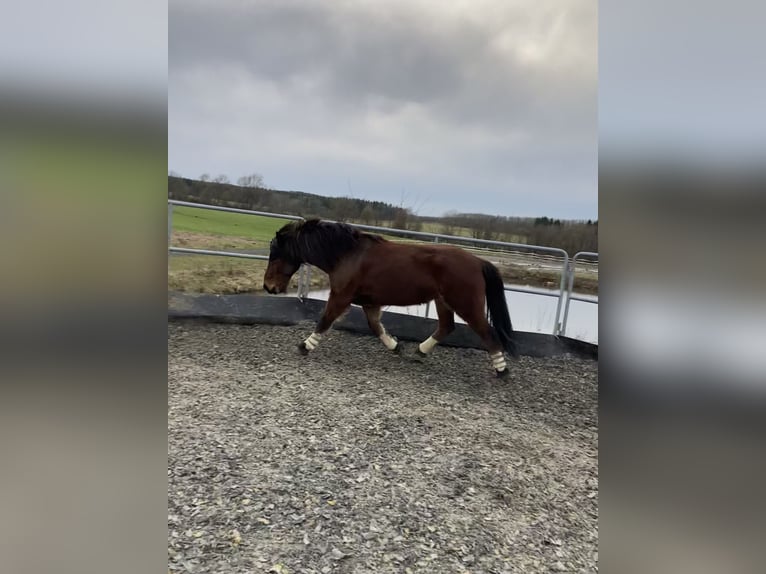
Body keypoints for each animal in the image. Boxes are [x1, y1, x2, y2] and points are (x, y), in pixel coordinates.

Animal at [263, 219, 518, 377]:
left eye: (275, 255)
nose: (268, 287)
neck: (347, 255)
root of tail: (478, 261)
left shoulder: (341, 296)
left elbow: (325, 320)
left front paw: (304, 346)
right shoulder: (370, 302)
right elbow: (375, 327)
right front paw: (396, 347)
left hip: (465, 304)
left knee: (487, 332)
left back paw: (502, 370)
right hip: (443, 301)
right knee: (447, 326)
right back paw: (419, 352)